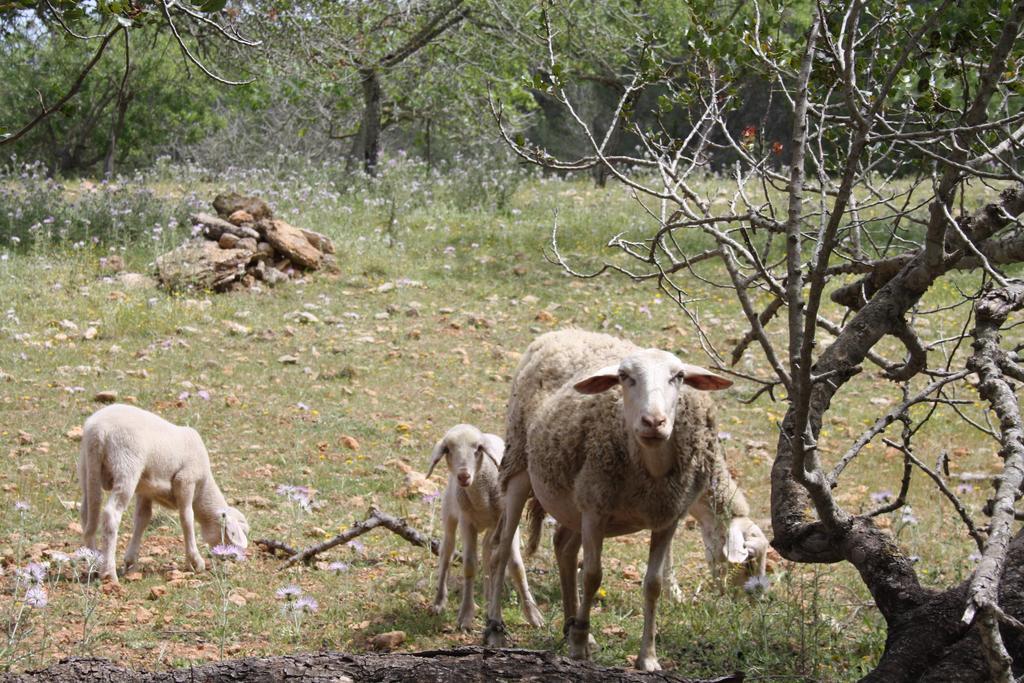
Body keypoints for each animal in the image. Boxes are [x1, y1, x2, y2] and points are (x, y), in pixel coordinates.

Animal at [77, 403, 249, 585]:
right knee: (111, 514)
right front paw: (195, 561)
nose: (236, 557)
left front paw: (131, 562)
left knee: (87, 513)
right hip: (127, 466)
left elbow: (142, 519)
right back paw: (109, 572)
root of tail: (98, 431)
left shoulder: (145, 489)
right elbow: (187, 518)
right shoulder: (185, 480)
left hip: (86, 467)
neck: (203, 489)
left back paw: (95, 563)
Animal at [423, 428, 544, 630]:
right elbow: (470, 565)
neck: (481, 497)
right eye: (447, 449)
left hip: (493, 527)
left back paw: (489, 598)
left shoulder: (509, 519)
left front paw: (533, 614)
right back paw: (439, 602)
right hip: (450, 516)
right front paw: (466, 614)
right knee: (446, 554)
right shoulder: (466, 522)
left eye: (478, 448)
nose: (463, 476)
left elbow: (516, 566)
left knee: (488, 553)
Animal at [487, 331, 770, 671]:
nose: (654, 421)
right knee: (502, 549)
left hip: (573, 500)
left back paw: (572, 625)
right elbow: (592, 576)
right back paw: (496, 629)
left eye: (679, 376)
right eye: (624, 376)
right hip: (519, 466)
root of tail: (557, 333)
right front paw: (579, 645)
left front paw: (647, 657)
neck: (651, 467)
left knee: (563, 549)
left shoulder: (666, 515)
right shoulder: (596, 510)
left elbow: (652, 584)